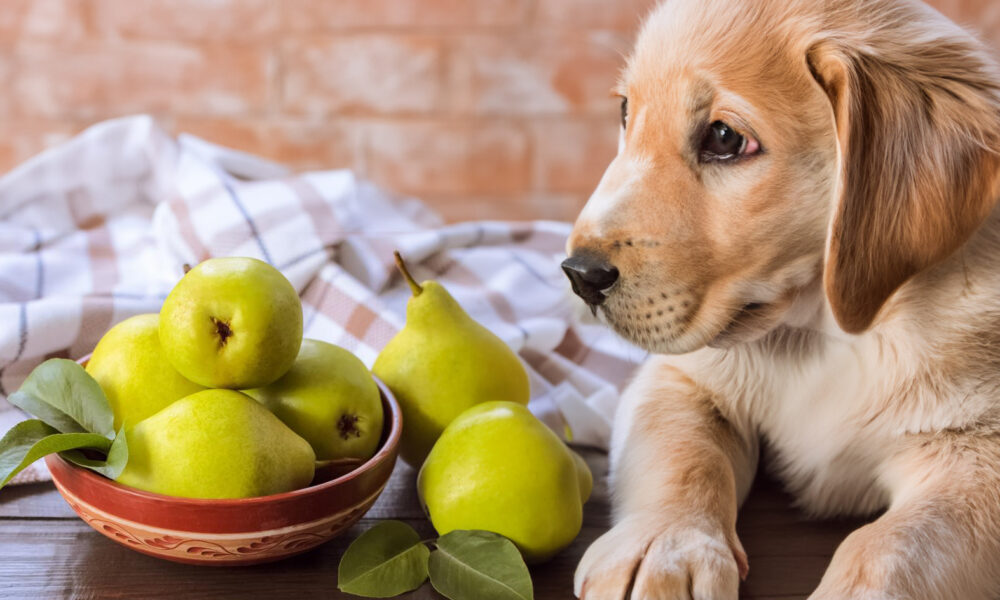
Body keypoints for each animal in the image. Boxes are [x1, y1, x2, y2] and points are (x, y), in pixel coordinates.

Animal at [564, 1, 1000, 600]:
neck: (831, 334)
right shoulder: (680, 378)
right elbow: (680, 454)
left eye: (725, 138)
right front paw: (662, 545)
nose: (578, 275)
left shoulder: (980, 449)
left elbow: (891, 544)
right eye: (627, 112)